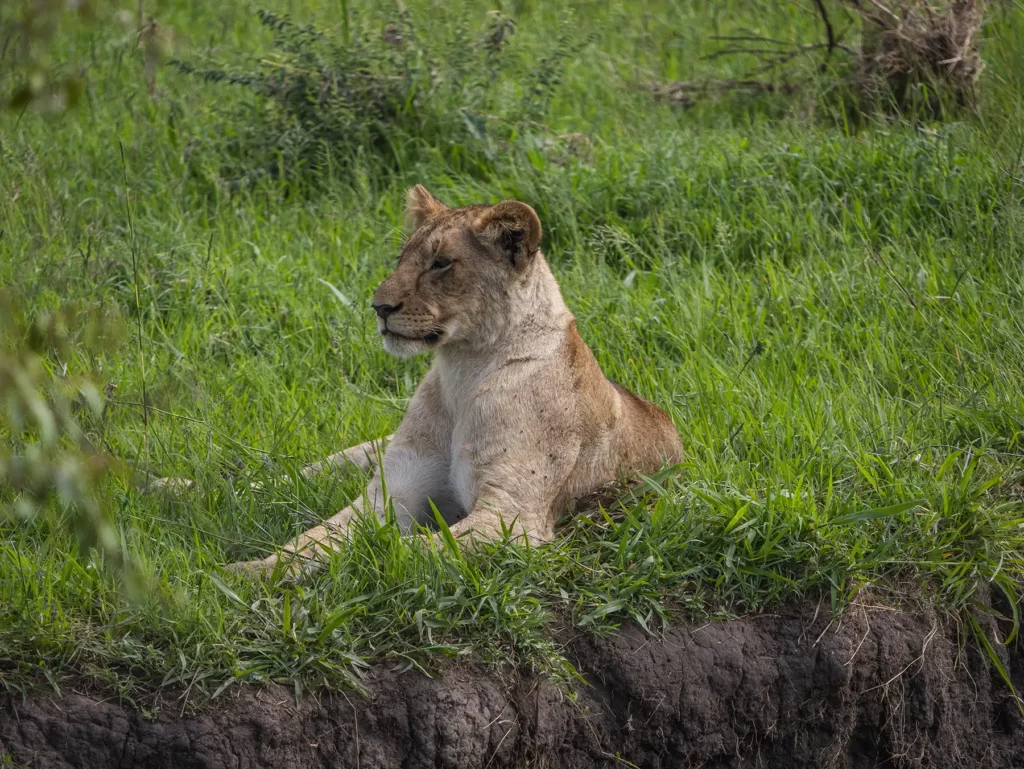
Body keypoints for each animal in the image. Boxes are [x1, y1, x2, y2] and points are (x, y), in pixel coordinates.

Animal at [231, 185, 683, 575]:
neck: (462, 370)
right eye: (401, 257)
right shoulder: (389, 492)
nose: (379, 307)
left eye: (441, 263)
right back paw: (226, 486)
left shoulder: (513, 518)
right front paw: (246, 573)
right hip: (370, 450)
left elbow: (401, 550)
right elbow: (315, 538)